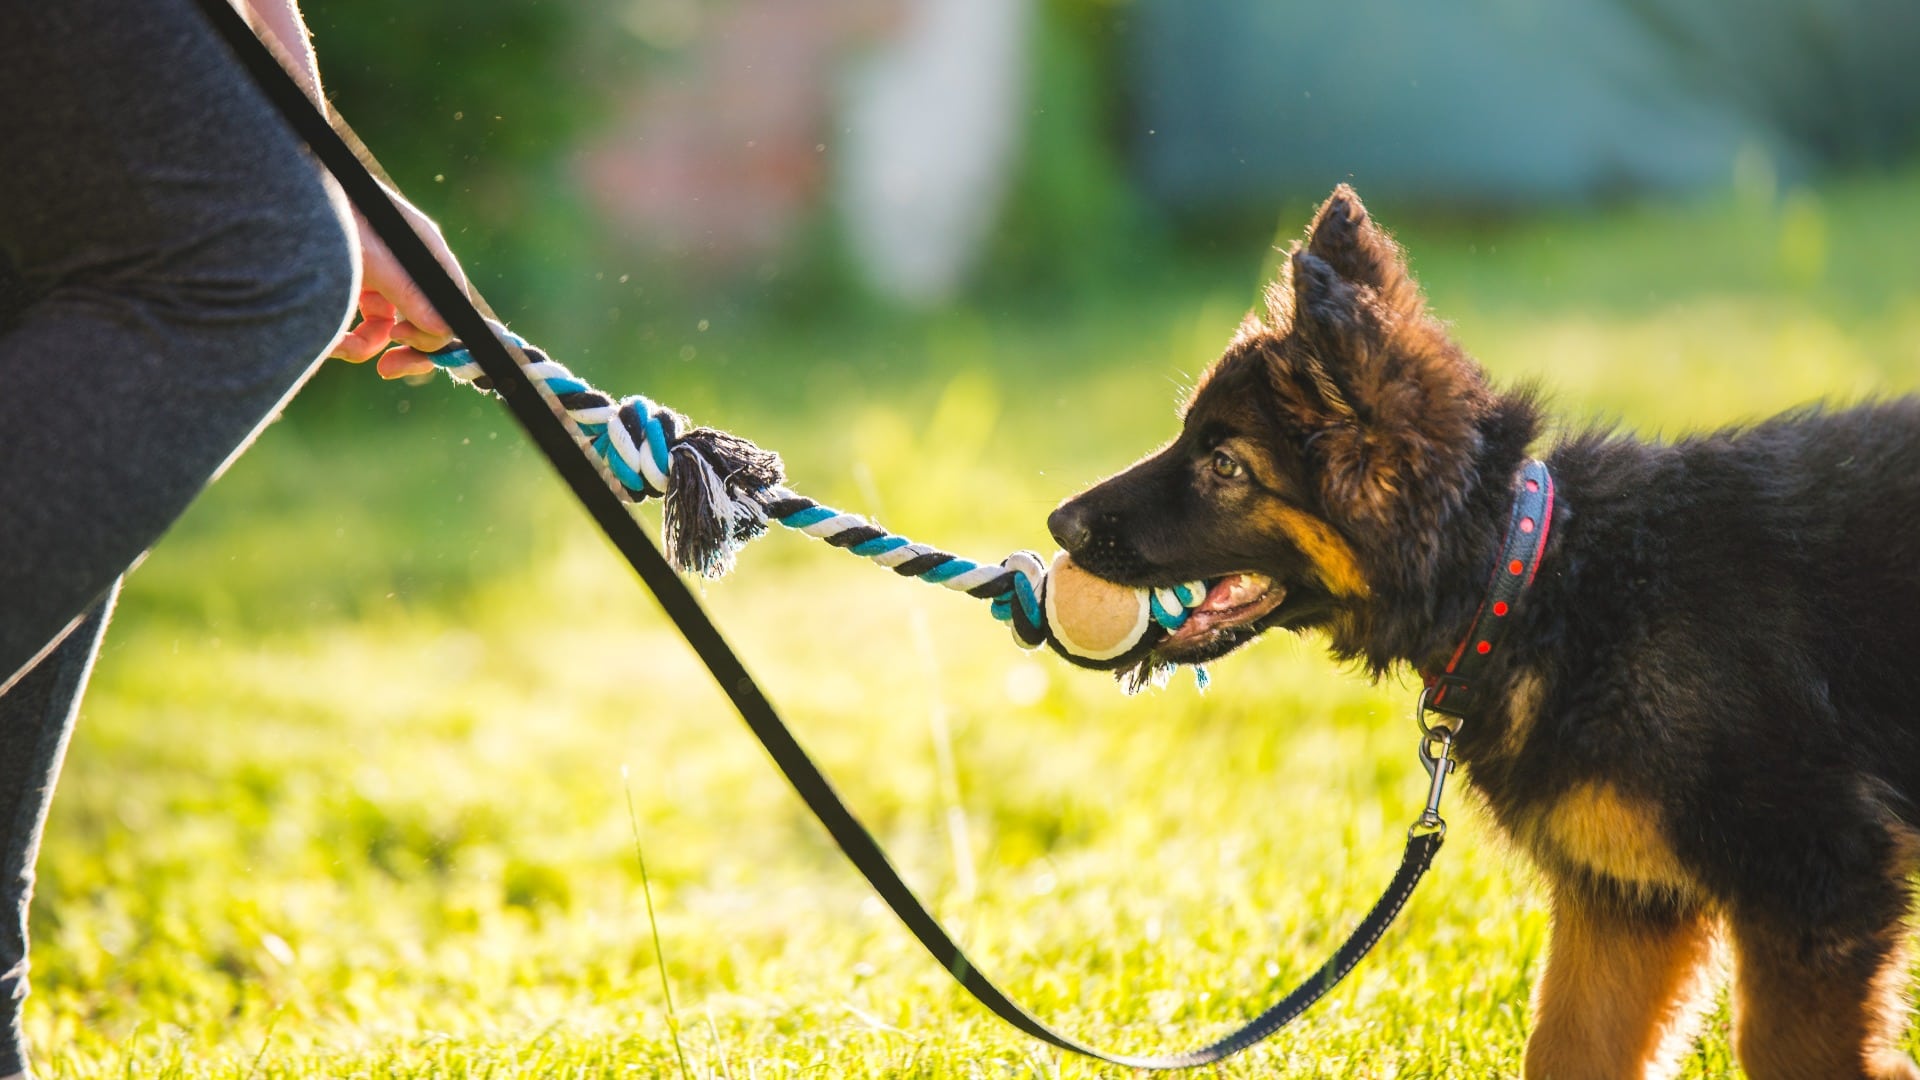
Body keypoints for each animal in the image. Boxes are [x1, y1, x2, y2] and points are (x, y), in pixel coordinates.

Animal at [1052, 189, 1920, 1068]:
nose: (1059, 523)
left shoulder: (1815, 874)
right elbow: (1564, 1053)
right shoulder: (1626, 903)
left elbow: (1785, 1050)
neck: (1542, 579)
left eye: (1225, 464)